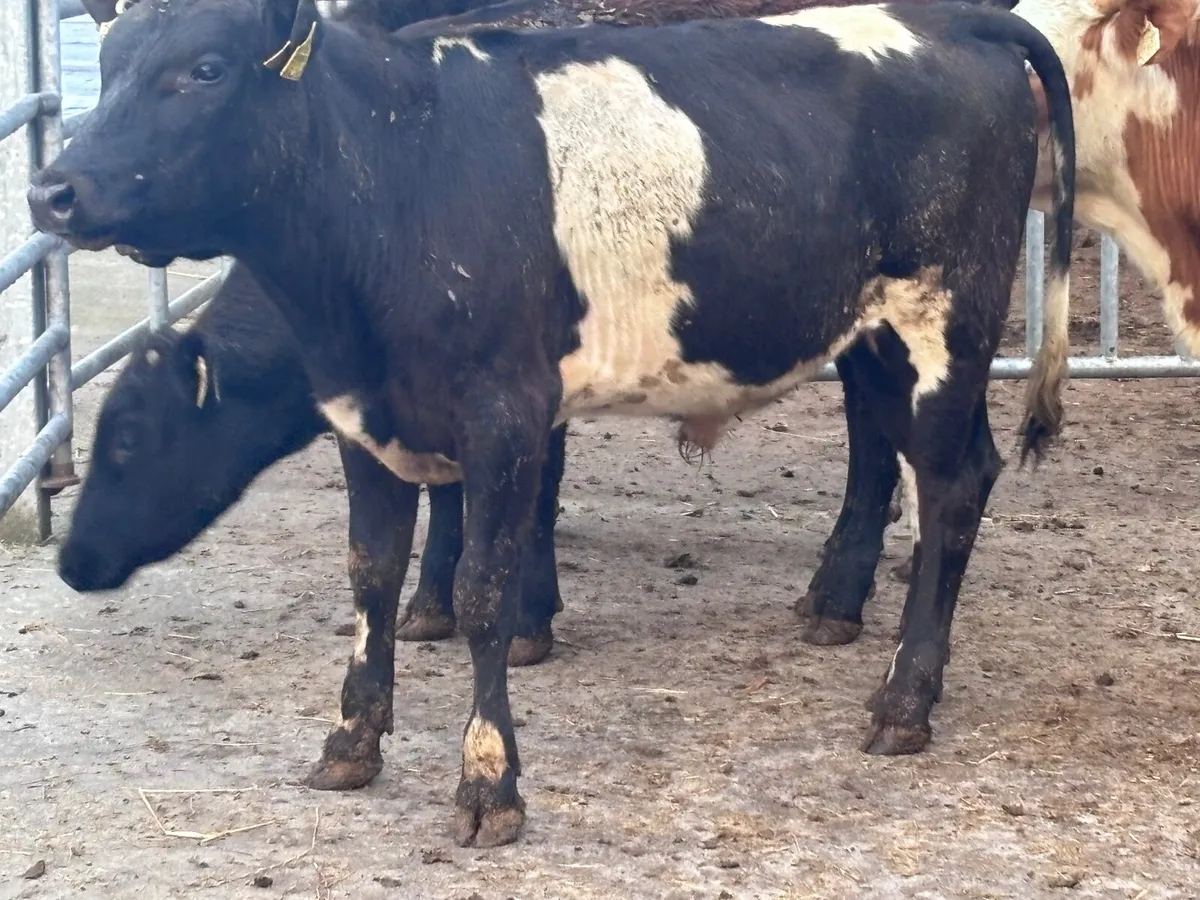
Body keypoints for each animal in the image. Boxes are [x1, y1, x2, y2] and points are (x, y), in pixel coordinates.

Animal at [29, 0, 1074, 846]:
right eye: (111, 60)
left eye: (204, 70)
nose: (51, 190)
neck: (398, 170)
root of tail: (955, 20)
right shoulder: (367, 420)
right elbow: (372, 576)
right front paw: (351, 737)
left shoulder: (507, 414)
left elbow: (485, 589)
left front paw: (489, 780)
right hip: (872, 336)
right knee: (917, 458)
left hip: (943, 323)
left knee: (952, 487)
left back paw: (905, 699)